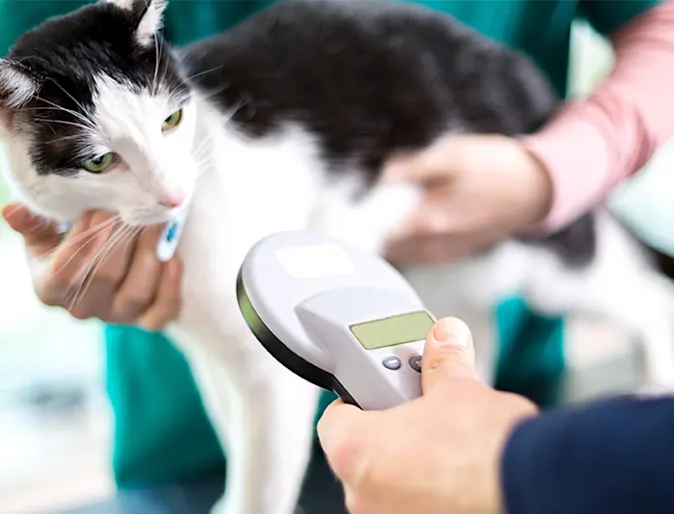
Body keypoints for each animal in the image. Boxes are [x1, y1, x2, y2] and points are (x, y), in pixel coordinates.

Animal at [3, 0, 672, 510]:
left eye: (170, 120)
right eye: (99, 161)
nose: (173, 191)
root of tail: (517, 69)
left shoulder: (267, 376)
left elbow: (263, 474)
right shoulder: (213, 353)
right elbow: (235, 434)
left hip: (538, 243)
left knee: (645, 293)